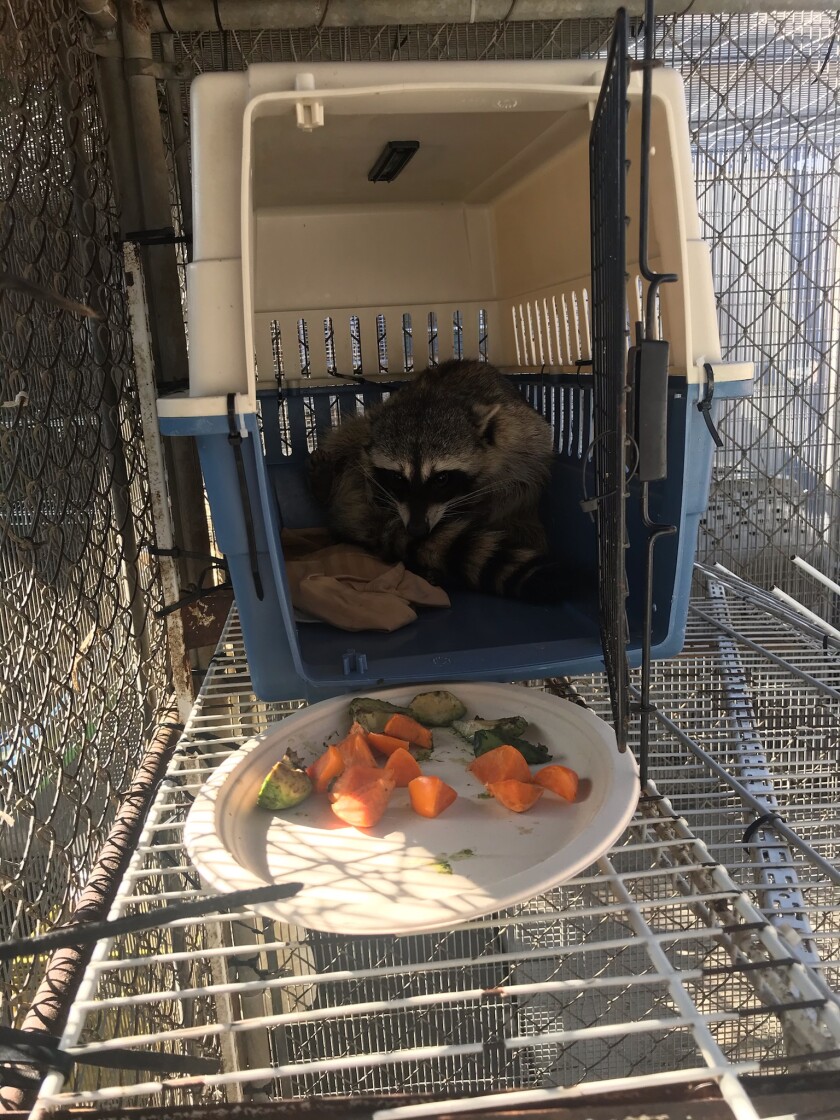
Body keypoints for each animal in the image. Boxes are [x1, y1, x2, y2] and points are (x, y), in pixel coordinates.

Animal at [311, 358, 586, 604]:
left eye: (441, 478)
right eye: (397, 477)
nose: (417, 530)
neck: (432, 396)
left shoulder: (521, 447)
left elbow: (513, 488)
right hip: (358, 438)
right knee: (348, 436)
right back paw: (326, 485)